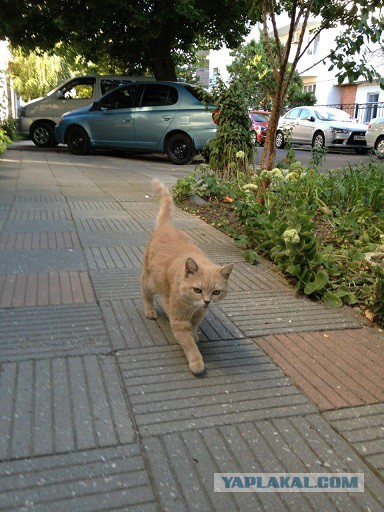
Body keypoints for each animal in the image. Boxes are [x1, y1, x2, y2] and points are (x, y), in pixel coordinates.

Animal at [141, 180, 231, 376]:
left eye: (216, 292)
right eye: (197, 290)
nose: (207, 301)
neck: (194, 307)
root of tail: (166, 226)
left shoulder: (198, 315)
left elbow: (194, 328)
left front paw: (195, 334)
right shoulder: (180, 321)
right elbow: (188, 344)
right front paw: (197, 362)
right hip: (149, 281)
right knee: (146, 296)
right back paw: (150, 311)